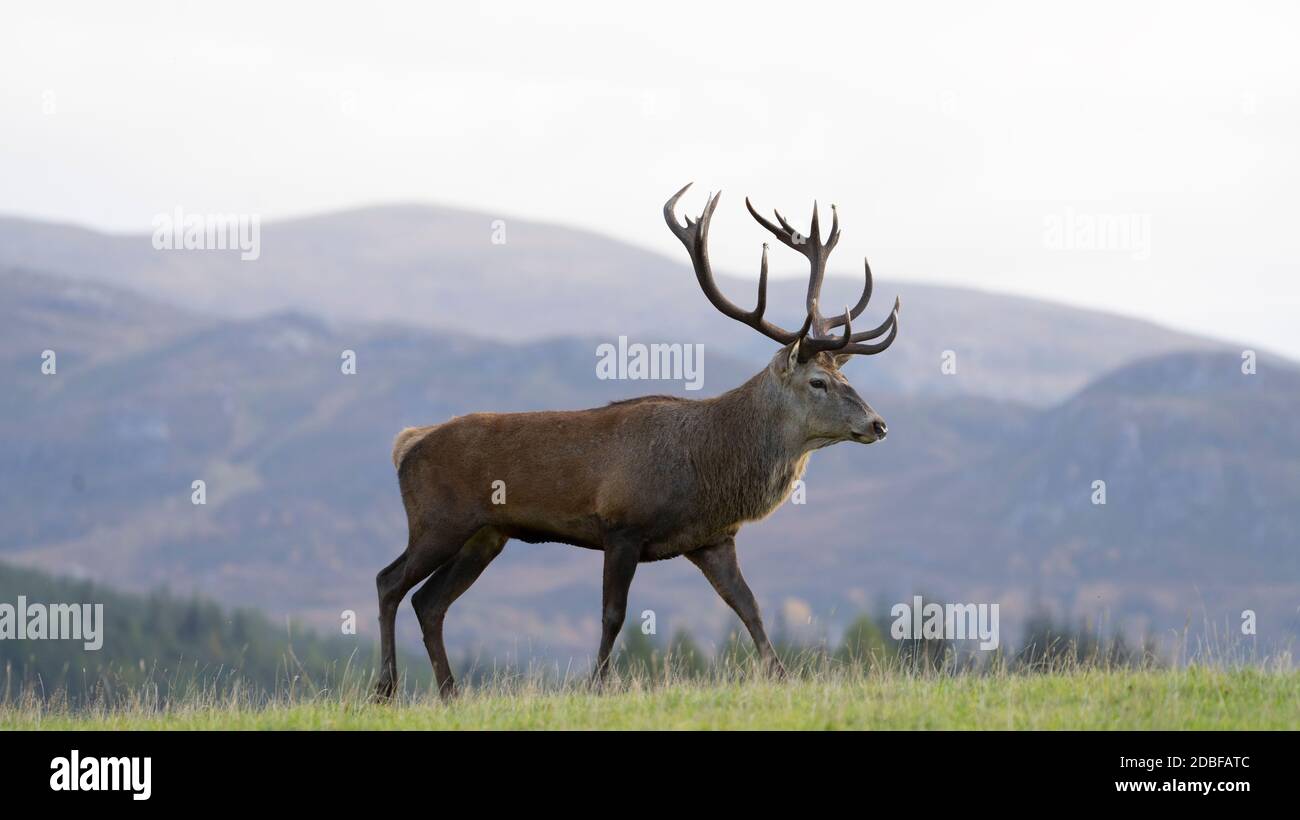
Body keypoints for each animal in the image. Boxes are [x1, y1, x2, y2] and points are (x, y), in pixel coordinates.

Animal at [371, 184, 899, 701]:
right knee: (390, 581)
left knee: (429, 602)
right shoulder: (621, 526)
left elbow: (749, 606)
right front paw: (596, 686)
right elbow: (613, 614)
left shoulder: (713, 539)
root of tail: (406, 445)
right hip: (439, 520)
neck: (710, 467)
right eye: (817, 382)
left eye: (845, 377)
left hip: (485, 535)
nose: (878, 424)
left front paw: (782, 677)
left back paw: (449, 692)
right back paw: (385, 688)